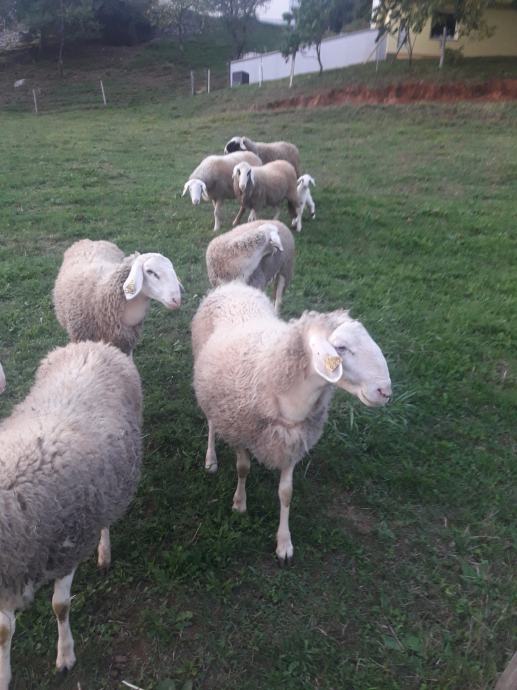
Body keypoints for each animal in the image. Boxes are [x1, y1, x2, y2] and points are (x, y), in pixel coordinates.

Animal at [0, 341, 142, 689]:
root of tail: (94, 345)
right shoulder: (9, 574)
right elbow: (4, 631)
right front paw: (3, 674)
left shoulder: (67, 547)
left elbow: (60, 606)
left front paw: (65, 655)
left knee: (105, 522)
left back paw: (104, 552)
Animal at [192, 282, 392, 563]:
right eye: (340, 348)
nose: (385, 391)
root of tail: (234, 285)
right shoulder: (241, 428)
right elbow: (242, 468)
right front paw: (239, 503)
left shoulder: (293, 442)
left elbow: (286, 493)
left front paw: (284, 543)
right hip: (207, 385)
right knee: (211, 421)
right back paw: (210, 459)